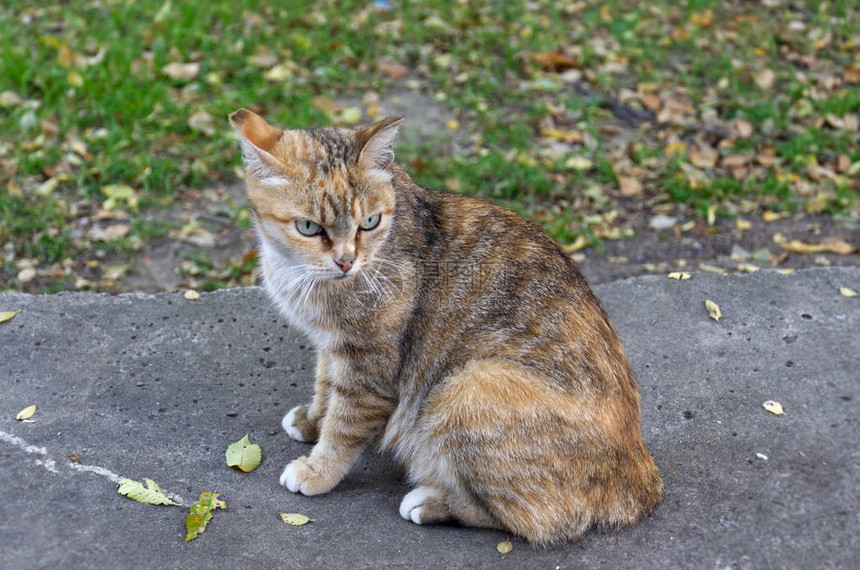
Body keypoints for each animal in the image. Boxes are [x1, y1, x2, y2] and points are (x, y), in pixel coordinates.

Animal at [230, 107, 664, 540]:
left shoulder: (368, 367)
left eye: (369, 222)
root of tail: (641, 475)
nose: (346, 261)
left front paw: (317, 469)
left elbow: (343, 425)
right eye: (309, 227)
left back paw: (433, 503)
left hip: (466, 385)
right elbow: (324, 388)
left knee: (533, 518)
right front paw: (312, 422)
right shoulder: (331, 345)